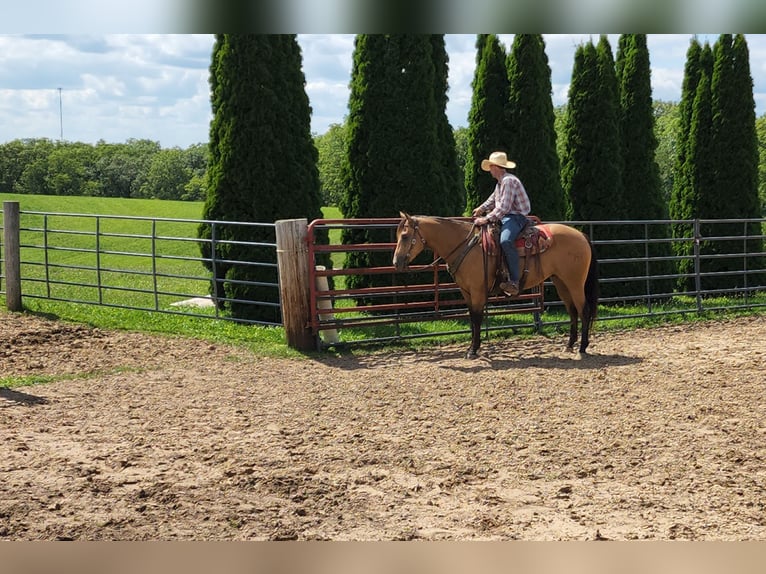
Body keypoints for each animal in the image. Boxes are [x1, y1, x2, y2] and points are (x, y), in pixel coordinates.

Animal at [392, 214, 604, 362]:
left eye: (405, 236)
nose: (396, 262)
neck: (466, 246)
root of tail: (581, 235)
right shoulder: (466, 292)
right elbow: (471, 318)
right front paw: (472, 347)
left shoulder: (477, 290)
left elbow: (477, 319)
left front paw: (473, 350)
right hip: (561, 282)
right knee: (572, 311)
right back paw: (569, 345)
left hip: (575, 282)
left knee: (583, 310)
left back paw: (582, 348)